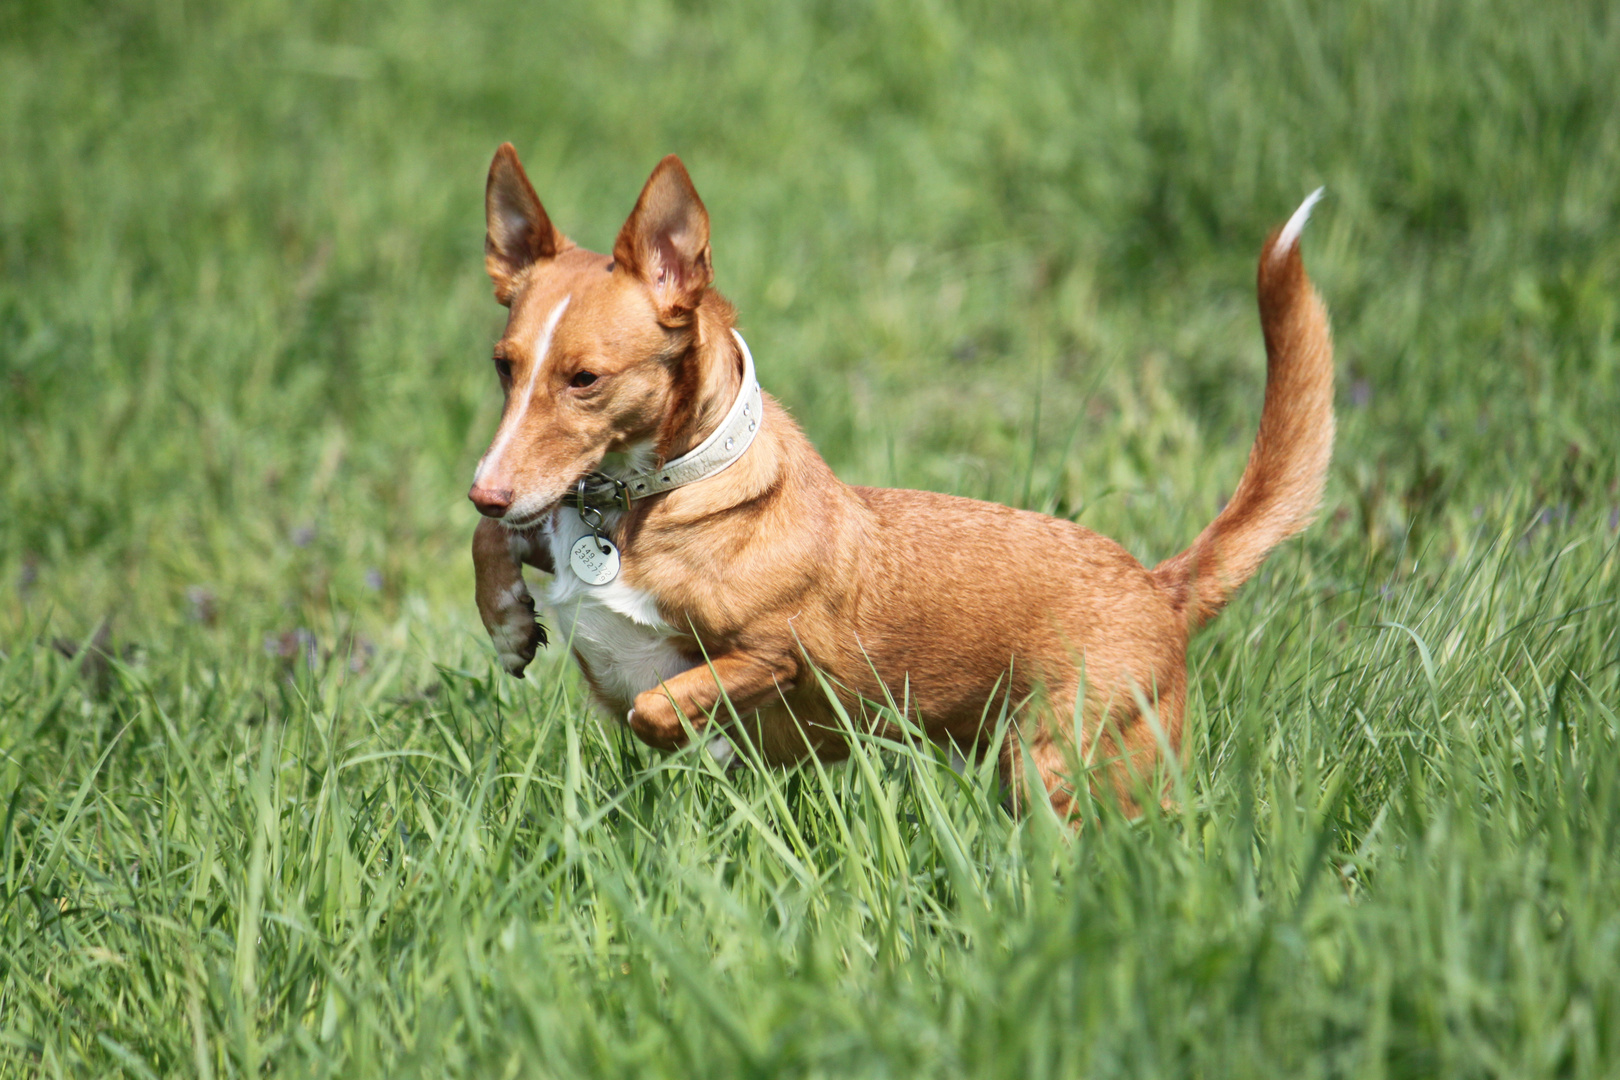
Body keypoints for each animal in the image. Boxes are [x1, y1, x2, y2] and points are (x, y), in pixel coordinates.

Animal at [466, 145, 1328, 819]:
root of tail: (1158, 585)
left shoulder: (779, 656)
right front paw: (509, 624)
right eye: (504, 366)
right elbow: (493, 544)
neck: (640, 502)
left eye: (585, 380)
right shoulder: (539, 519)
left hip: (1067, 769)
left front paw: (697, 737)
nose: (484, 487)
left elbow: (658, 702)